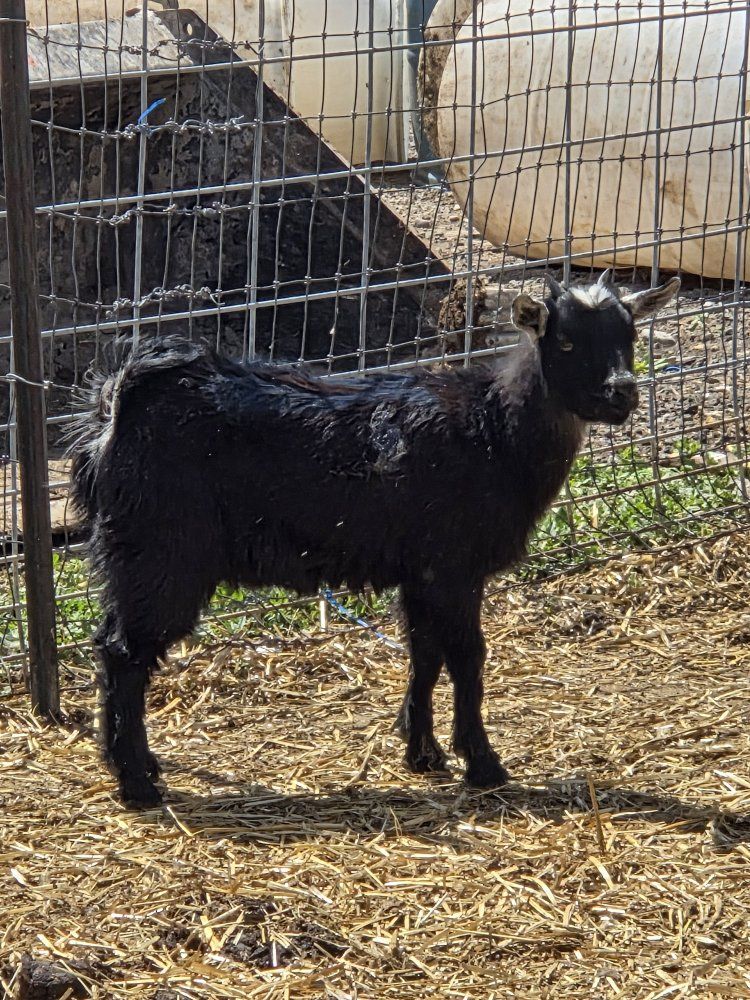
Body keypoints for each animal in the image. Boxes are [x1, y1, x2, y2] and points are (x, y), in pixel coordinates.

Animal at [69, 271, 679, 806]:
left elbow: (424, 652)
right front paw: (482, 764)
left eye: (630, 336)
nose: (622, 394)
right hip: (163, 553)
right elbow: (468, 655)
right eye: (568, 340)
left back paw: (138, 765)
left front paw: (423, 753)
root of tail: (116, 407)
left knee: (115, 647)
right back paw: (137, 784)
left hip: (135, 553)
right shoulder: (453, 565)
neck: (494, 429)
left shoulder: (421, 570)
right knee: (124, 653)